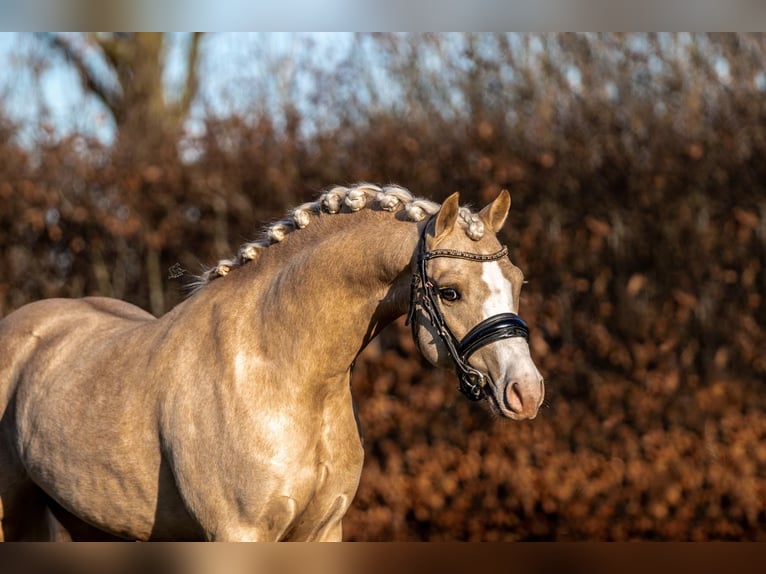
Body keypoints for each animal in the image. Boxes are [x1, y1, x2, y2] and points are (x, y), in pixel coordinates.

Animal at [0, 184, 544, 541]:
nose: (527, 391)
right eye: (450, 291)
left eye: (518, 280)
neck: (281, 371)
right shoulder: (238, 533)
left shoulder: (322, 532)